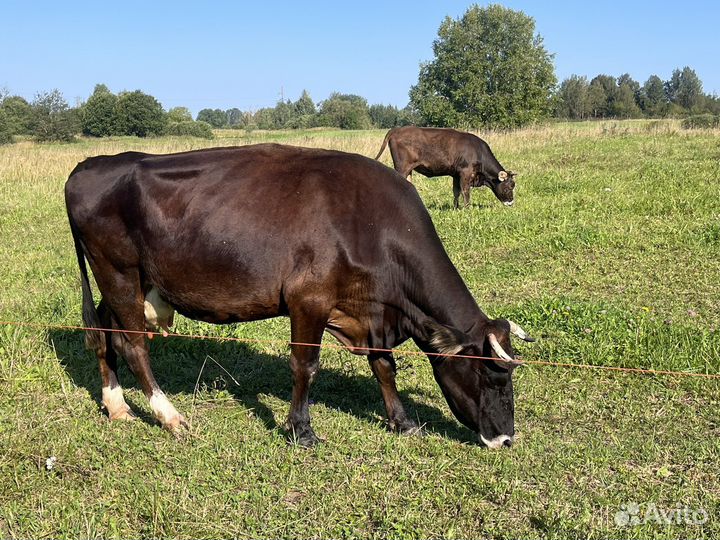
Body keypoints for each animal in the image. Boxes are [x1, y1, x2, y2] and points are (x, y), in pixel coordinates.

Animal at [65, 143, 534, 448]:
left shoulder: (372, 310)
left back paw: (116, 404)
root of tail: (91, 165)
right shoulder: (309, 300)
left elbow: (384, 366)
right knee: (133, 344)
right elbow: (305, 367)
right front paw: (301, 430)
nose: (506, 438)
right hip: (118, 271)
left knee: (104, 333)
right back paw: (170, 416)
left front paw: (402, 422)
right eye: (493, 375)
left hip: (124, 280)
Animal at [375, 126, 517, 209]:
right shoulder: (465, 173)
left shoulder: (456, 174)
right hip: (402, 167)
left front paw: (456, 208)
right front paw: (467, 209)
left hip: (408, 170)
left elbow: (456, 192)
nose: (511, 202)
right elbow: (465, 192)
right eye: (508, 187)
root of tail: (396, 129)